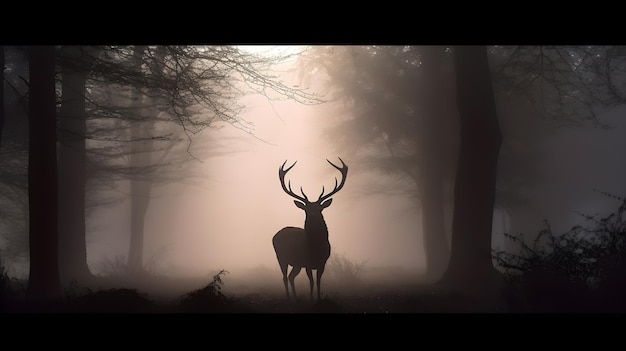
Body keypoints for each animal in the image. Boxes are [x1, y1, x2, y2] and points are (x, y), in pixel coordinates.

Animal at [272, 158, 346, 302]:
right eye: (306, 209)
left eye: (319, 208)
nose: (312, 215)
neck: (315, 248)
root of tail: (274, 236)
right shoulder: (307, 263)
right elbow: (311, 282)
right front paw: (311, 299)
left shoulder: (322, 263)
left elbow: (318, 282)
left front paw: (319, 299)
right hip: (281, 257)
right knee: (284, 277)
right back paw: (289, 298)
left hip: (296, 264)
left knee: (291, 277)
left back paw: (295, 297)